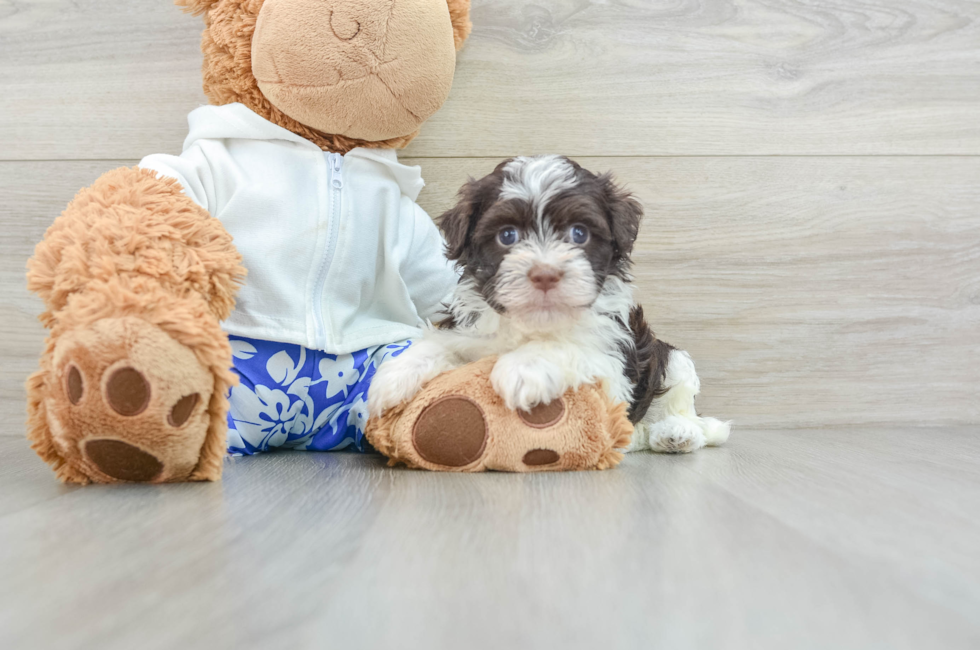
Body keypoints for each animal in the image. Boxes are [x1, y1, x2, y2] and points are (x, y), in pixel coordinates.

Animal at [368, 155, 728, 454]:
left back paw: (677, 433)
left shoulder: (613, 362)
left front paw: (524, 367)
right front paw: (394, 376)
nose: (544, 274)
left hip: (670, 358)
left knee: (679, 404)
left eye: (579, 233)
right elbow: (442, 342)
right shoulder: (469, 330)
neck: (534, 322)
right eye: (507, 235)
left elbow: (570, 346)